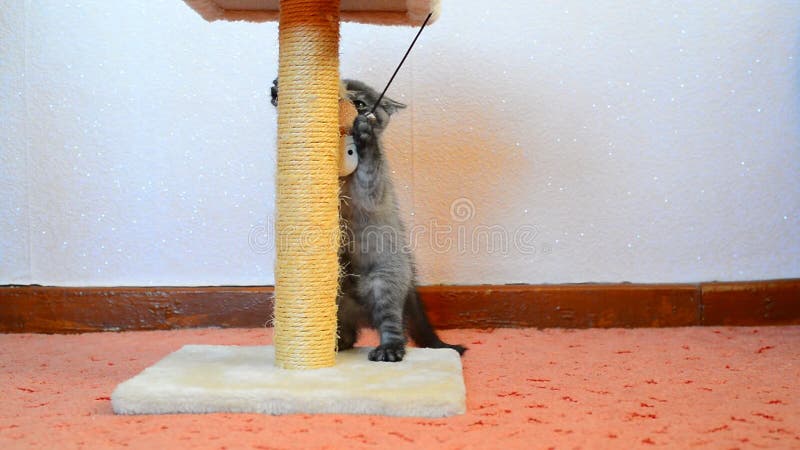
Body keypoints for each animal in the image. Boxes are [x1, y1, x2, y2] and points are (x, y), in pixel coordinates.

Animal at [272, 79, 466, 362]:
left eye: (360, 103)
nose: (352, 113)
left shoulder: (372, 190)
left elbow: (369, 166)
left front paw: (365, 136)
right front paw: (277, 91)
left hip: (385, 282)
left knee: (394, 327)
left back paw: (389, 350)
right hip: (337, 300)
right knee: (349, 334)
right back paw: (337, 343)